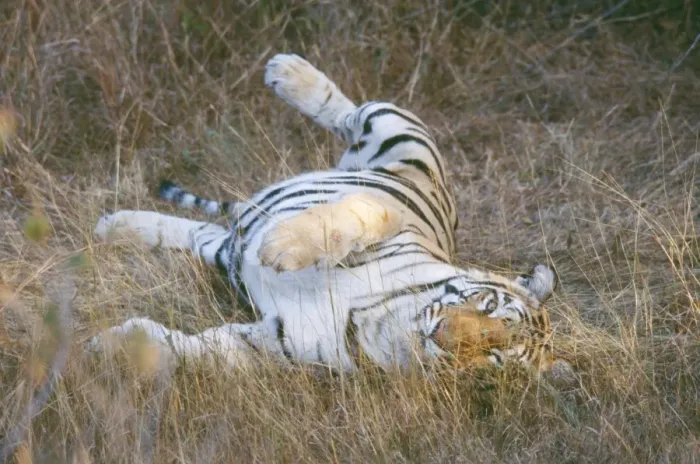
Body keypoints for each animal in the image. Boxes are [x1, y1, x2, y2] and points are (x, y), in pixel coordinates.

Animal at [88, 53, 567, 375]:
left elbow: (193, 348)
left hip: (224, 252)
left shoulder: (273, 342)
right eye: (487, 305)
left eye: (495, 356)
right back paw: (287, 72)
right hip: (402, 132)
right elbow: (351, 218)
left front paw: (105, 349)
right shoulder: (390, 215)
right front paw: (281, 248)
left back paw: (113, 227)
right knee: (349, 111)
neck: (385, 329)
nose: (441, 336)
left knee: (199, 234)